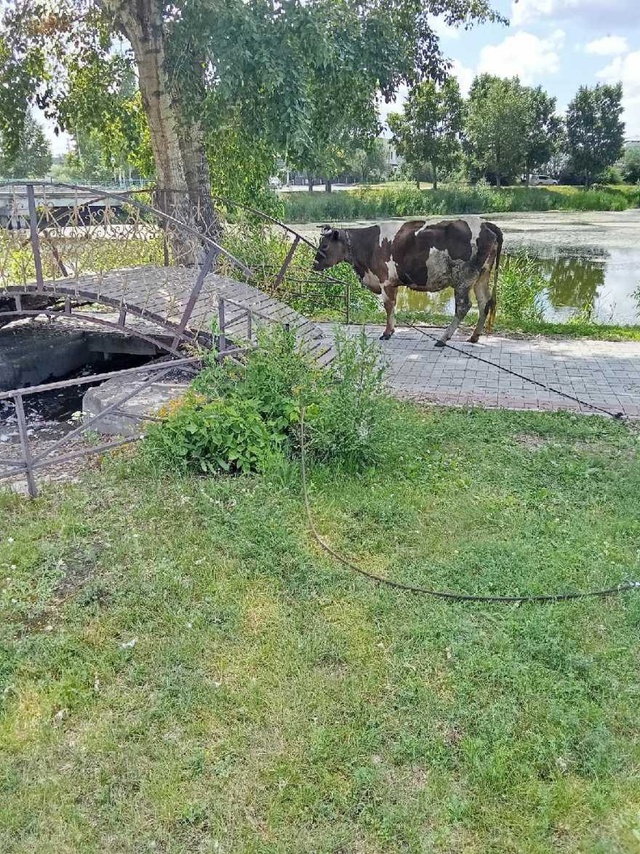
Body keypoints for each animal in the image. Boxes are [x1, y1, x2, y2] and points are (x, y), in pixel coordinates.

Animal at [312, 217, 502, 348]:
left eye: (325, 246)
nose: (314, 265)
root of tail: (485, 223)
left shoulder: (385, 281)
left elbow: (388, 305)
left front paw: (386, 333)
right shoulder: (392, 283)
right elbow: (393, 305)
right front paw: (391, 330)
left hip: (463, 279)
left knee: (464, 306)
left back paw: (443, 338)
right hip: (482, 276)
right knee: (484, 302)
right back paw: (474, 336)